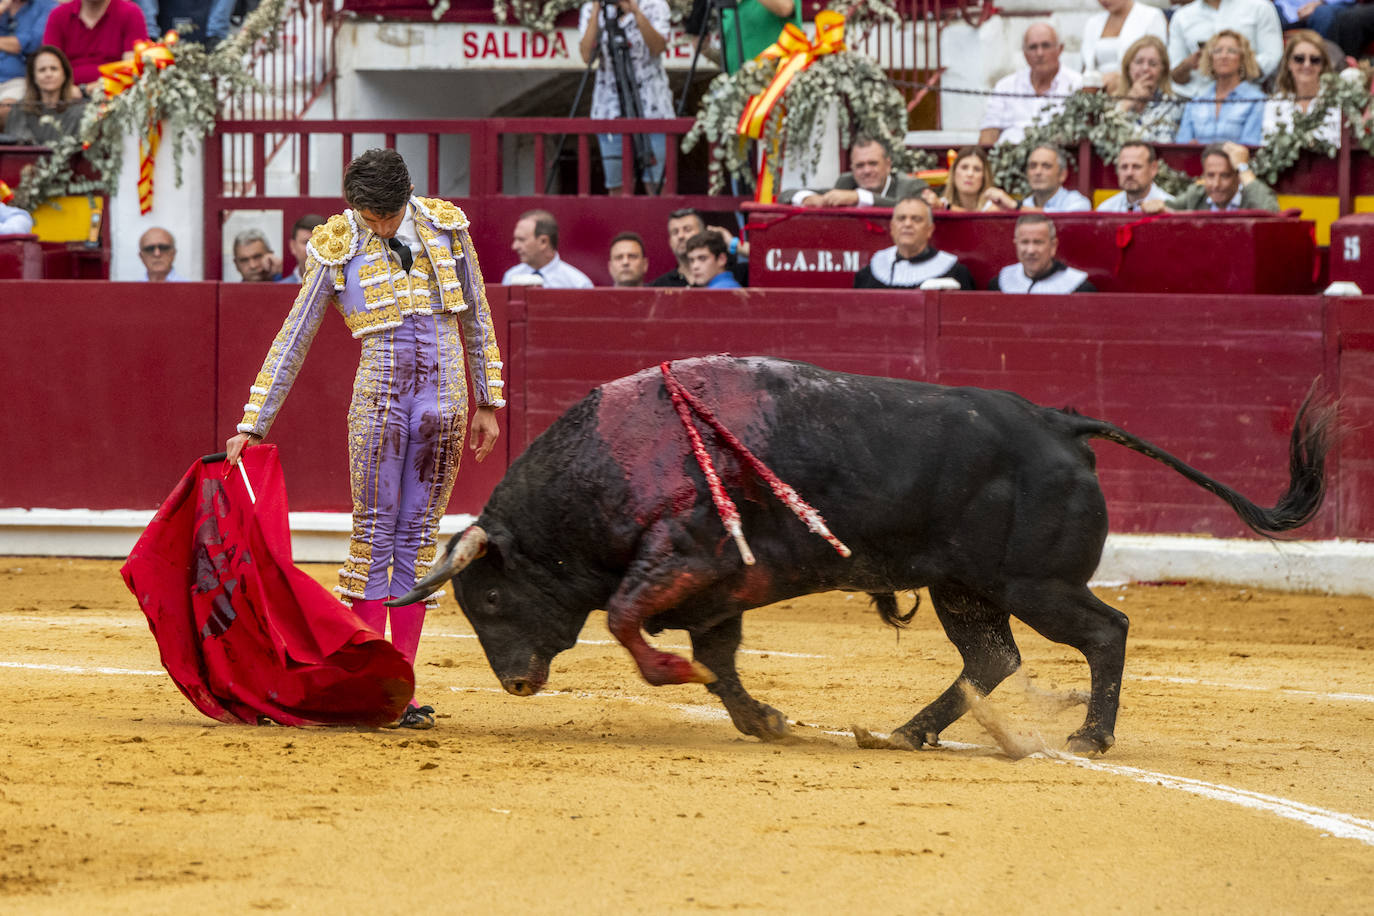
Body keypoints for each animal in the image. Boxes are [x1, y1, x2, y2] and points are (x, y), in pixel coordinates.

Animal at [390, 357, 1330, 752]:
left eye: (492, 600)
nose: (516, 682)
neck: (612, 464)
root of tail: (1060, 422)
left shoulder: (683, 557)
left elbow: (627, 620)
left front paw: (677, 679)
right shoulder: (716, 593)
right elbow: (720, 661)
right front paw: (761, 720)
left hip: (1036, 581)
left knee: (1106, 631)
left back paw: (1092, 736)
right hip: (964, 588)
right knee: (991, 658)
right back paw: (905, 732)